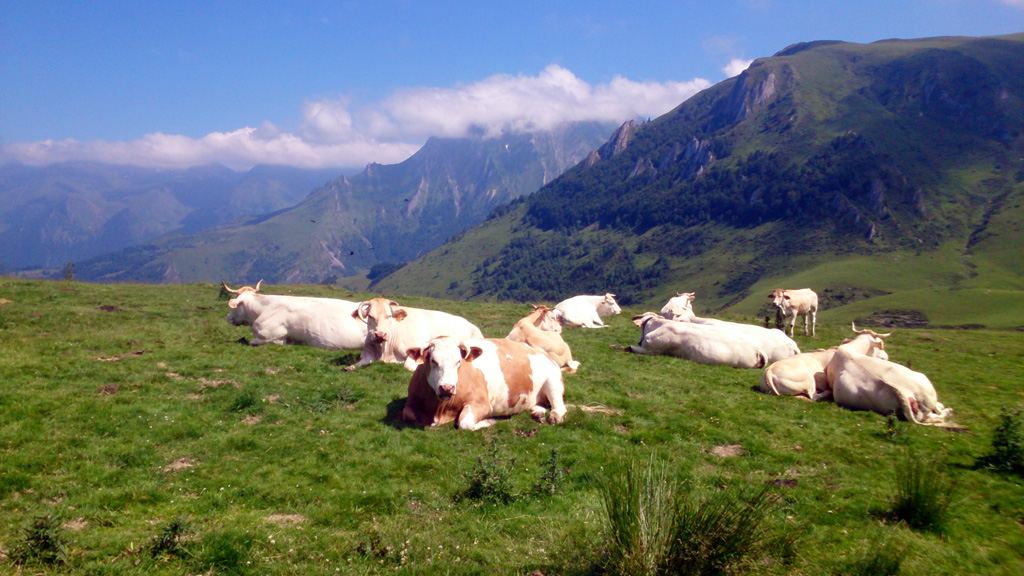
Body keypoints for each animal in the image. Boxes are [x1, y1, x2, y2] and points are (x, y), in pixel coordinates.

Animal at [346, 295, 485, 373]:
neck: (386, 350)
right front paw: (349, 367)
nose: (380, 334)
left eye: (389, 316)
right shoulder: (367, 353)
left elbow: (408, 365)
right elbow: (357, 363)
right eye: (370, 316)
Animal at [399, 334, 569, 428]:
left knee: (559, 405)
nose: (447, 387)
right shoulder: (411, 402)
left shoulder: (481, 403)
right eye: (433, 361)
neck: (438, 410)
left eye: (458, 362)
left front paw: (490, 421)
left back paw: (555, 416)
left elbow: (465, 423)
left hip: (553, 381)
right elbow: (407, 414)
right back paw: (537, 413)